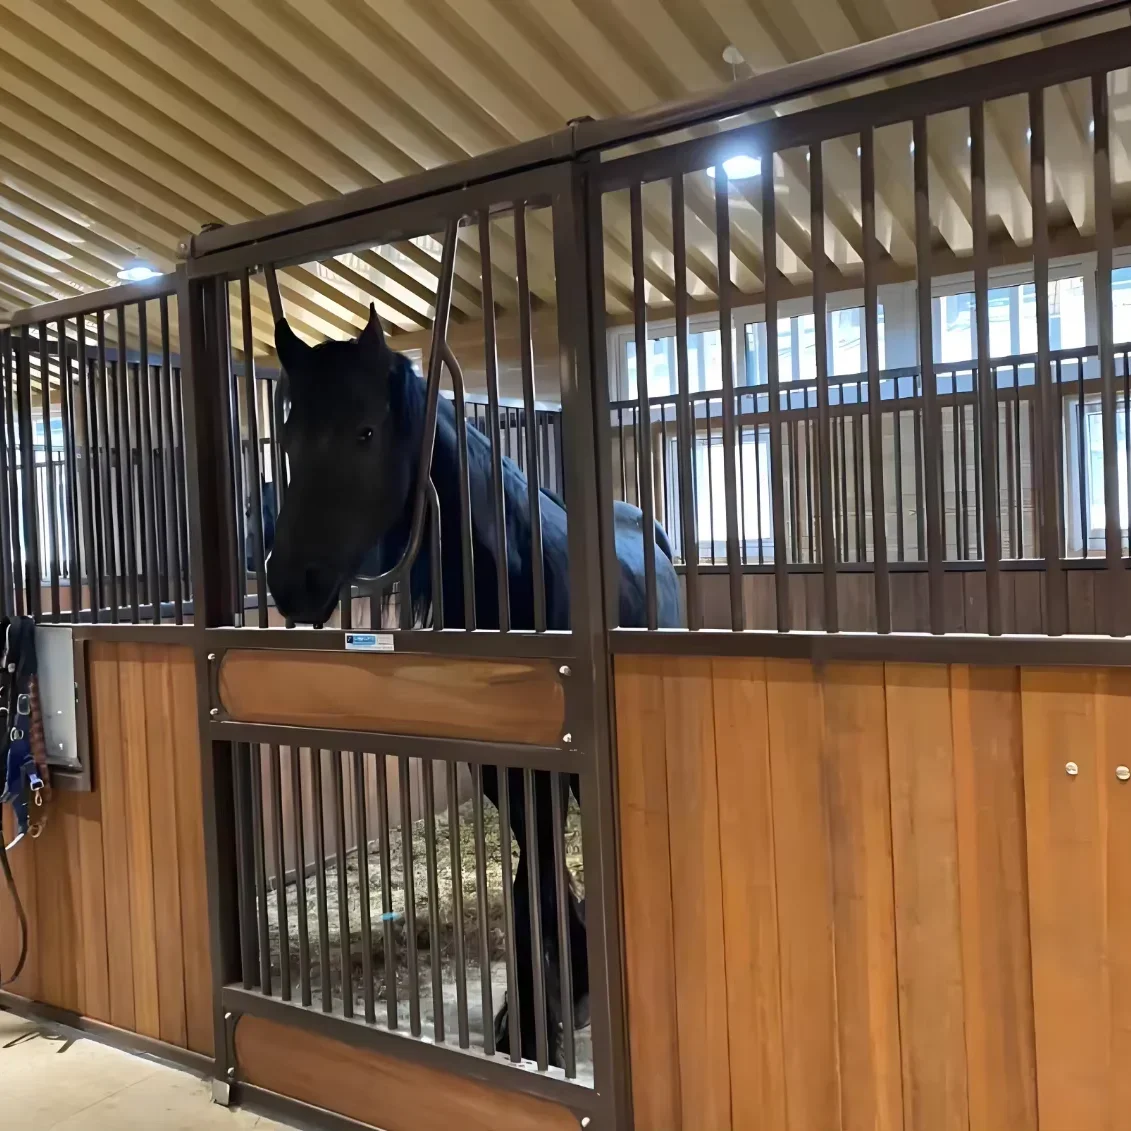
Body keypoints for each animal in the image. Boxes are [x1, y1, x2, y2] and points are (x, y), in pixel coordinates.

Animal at [264, 305, 678, 1063]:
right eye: (289, 435)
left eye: (365, 431)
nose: (292, 581)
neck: (509, 577)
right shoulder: (498, 763)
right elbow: (533, 872)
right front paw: (545, 999)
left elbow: (538, 870)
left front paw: (542, 1016)